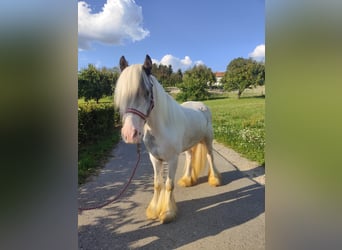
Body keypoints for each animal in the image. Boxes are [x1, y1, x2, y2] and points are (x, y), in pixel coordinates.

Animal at [114, 54, 222, 223]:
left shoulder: (172, 159)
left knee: (210, 157)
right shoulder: (155, 159)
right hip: (188, 145)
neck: (161, 127)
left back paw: (215, 180)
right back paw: (187, 180)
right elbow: (158, 184)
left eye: (147, 93)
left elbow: (169, 185)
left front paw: (167, 212)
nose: (129, 134)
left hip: (208, 139)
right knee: (190, 158)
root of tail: (202, 106)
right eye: (122, 95)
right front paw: (153, 210)